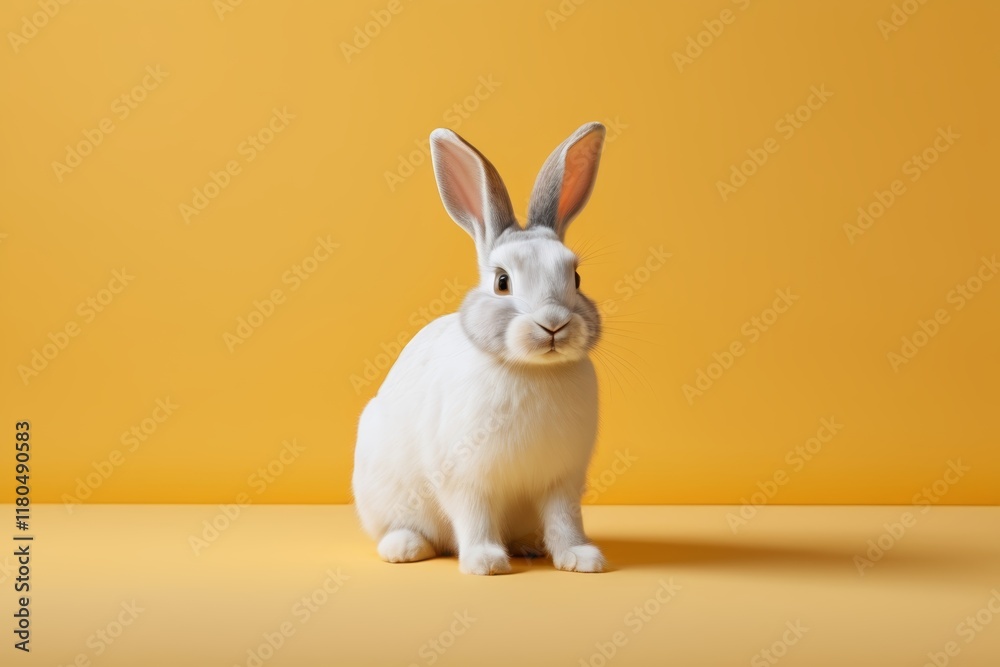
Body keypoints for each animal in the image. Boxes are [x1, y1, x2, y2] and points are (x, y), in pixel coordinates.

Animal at [352, 122, 608, 575]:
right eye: (502, 282)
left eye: (576, 278)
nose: (554, 324)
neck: (532, 369)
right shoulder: (466, 478)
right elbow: (475, 517)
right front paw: (485, 562)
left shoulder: (562, 481)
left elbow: (565, 520)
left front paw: (580, 557)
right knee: (397, 528)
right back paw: (405, 547)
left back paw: (527, 545)